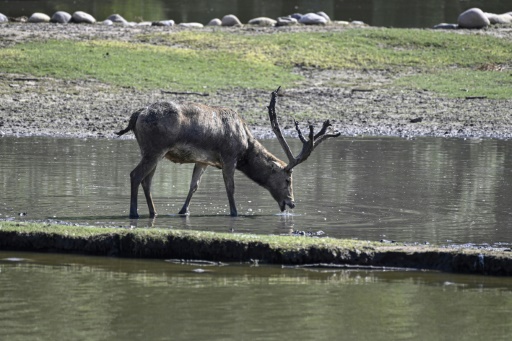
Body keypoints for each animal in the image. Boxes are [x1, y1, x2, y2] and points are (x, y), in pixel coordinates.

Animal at [116, 87, 340, 218]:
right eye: (287, 179)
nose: (291, 203)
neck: (245, 148)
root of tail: (136, 115)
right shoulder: (229, 156)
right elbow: (230, 187)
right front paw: (235, 212)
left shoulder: (203, 160)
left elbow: (194, 186)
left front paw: (183, 211)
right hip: (154, 149)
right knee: (135, 174)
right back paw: (134, 213)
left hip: (152, 151)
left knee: (147, 180)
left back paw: (153, 212)